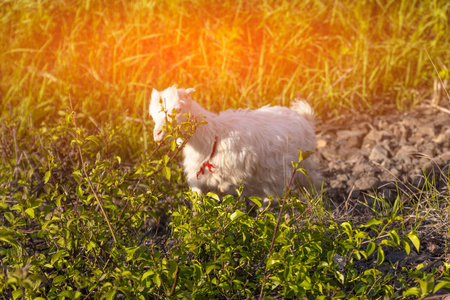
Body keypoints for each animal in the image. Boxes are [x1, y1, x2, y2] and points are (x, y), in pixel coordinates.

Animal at [149, 85, 322, 199]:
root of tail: (303, 116)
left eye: (178, 110)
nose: (157, 135)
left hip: (301, 165)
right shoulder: (196, 178)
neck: (213, 136)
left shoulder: (234, 176)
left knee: (313, 183)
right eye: (154, 111)